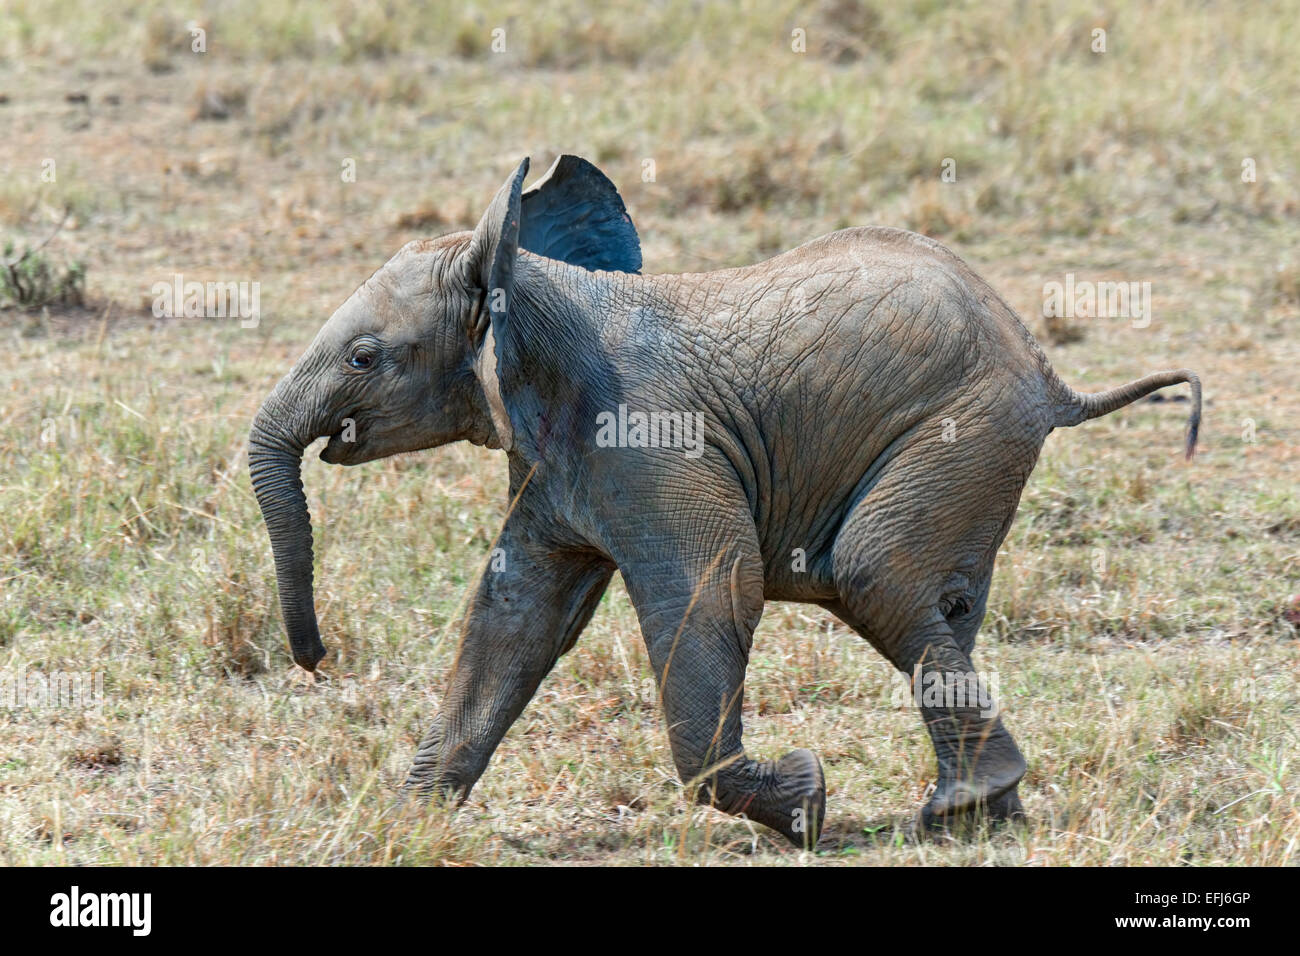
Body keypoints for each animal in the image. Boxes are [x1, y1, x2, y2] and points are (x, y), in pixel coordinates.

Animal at [249, 154, 1201, 847]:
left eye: (365, 357)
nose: (316, 659)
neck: (532, 284)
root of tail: (1049, 371)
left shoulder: (646, 443)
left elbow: (710, 588)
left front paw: (806, 801)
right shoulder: (554, 460)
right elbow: (516, 611)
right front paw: (402, 826)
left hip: (963, 427)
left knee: (875, 575)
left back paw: (957, 811)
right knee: (939, 602)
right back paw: (981, 818)